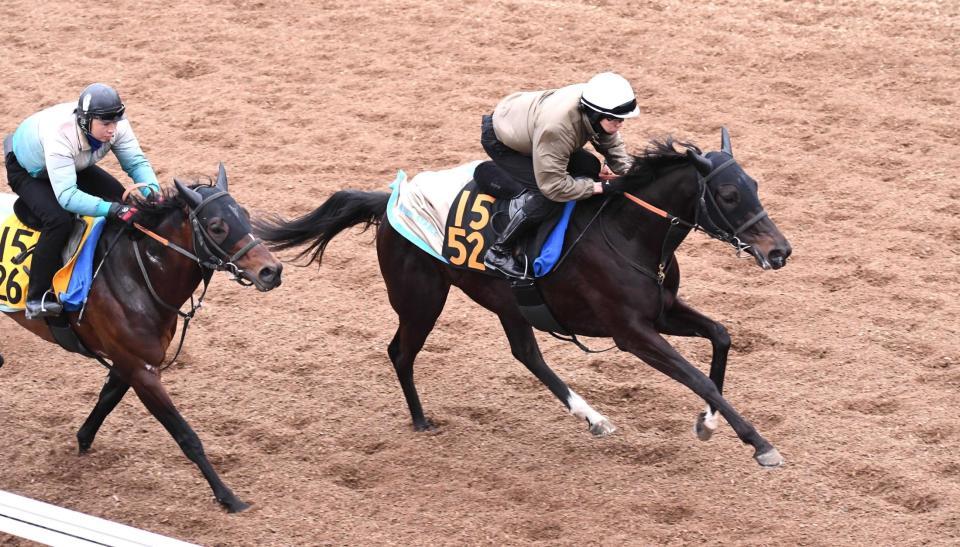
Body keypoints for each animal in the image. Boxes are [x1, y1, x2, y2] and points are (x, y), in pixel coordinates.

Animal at [0, 165, 284, 512]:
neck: (137, 273)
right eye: (217, 227)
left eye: (244, 214)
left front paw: (83, 441)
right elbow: (186, 436)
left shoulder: (130, 363)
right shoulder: (142, 371)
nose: (271, 271)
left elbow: (106, 401)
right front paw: (228, 496)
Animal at [253, 128, 788, 466]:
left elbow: (721, 336)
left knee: (526, 354)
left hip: (508, 302)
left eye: (755, 185)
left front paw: (708, 424)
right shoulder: (631, 333)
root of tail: (388, 201)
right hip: (422, 299)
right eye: (729, 194)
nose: (779, 251)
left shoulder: (662, 311)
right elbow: (698, 379)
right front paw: (759, 443)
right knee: (400, 352)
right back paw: (422, 420)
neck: (629, 233)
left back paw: (593, 418)